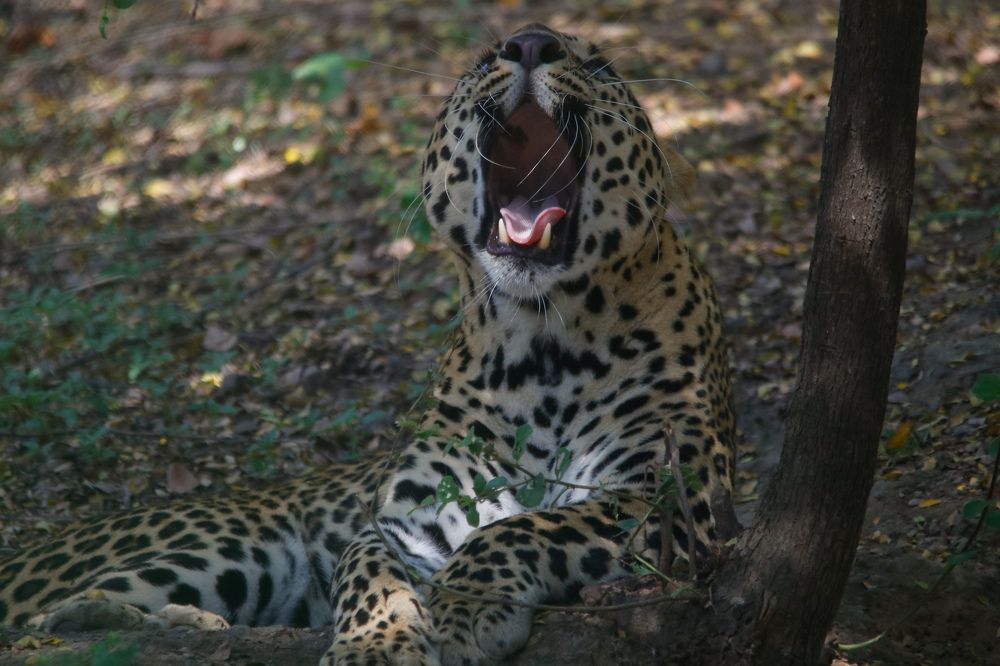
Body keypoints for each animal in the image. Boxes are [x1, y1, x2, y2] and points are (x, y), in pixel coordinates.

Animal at [0, 24, 736, 665]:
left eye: (603, 67)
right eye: (484, 58)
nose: (529, 42)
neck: (540, 346)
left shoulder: (667, 497)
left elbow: (523, 527)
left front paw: (464, 606)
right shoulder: (407, 521)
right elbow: (366, 568)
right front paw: (376, 643)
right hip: (227, 548)